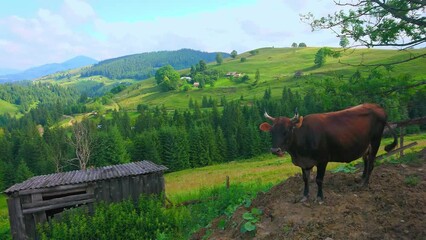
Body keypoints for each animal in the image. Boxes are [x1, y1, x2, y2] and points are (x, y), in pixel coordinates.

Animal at [260, 103, 400, 202]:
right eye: (272, 131)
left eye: (287, 130)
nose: (275, 150)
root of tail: (378, 107)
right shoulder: (304, 162)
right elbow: (305, 179)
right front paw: (304, 196)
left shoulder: (322, 160)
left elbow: (319, 179)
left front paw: (319, 197)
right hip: (365, 145)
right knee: (366, 160)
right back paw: (361, 178)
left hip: (375, 141)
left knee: (371, 163)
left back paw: (364, 184)